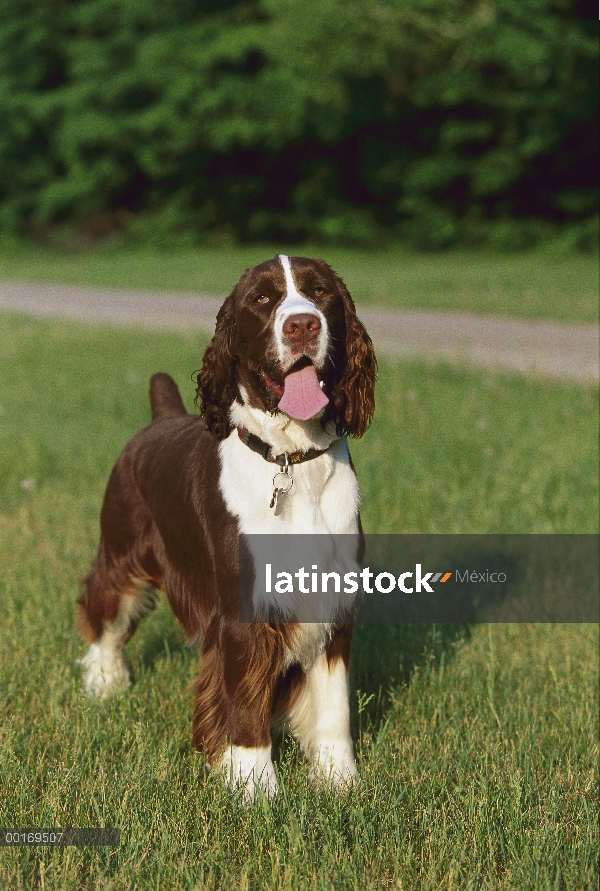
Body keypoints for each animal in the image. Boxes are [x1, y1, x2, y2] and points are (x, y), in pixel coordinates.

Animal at [75, 253, 376, 800]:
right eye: (262, 298)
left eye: (320, 292)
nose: (303, 325)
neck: (291, 459)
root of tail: (162, 416)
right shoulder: (243, 609)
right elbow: (244, 702)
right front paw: (256, 790)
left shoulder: (334, 603)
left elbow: (333, 705)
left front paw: (339, 781)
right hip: (122, 546)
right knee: (104, 607)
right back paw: (104, 681)